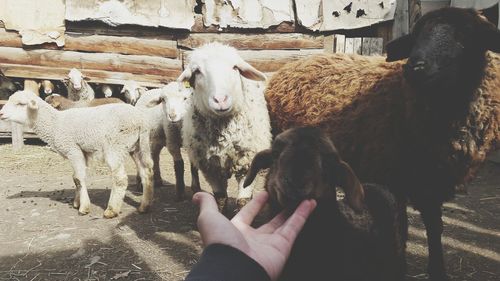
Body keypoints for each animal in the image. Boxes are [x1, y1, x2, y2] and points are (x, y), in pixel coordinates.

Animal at [0, 89, 154, 217]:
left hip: (115, 147)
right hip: (137, 146)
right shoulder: (81, 152)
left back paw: (111, 210)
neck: (55, 124)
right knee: (146, 172)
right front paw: (76, 202)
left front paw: (84, 207)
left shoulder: (72, 149)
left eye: (21, 104)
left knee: (120, 179)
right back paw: (144, 206)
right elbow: (76, 178)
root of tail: (141, 120)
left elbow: (79, 178)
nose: (1, 113)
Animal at [178, 42, 272, 210]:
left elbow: (244, 201)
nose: (220, 100)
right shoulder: (210, 168)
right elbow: (220, 198)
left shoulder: (248, 163)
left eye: (235, 67)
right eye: (197, 71)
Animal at [264, 7, 498, 280]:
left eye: (466, 35)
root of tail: (291, 66)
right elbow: (405, 225)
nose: (415, 67)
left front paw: (436, 269)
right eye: (417, 36)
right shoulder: (397, 176)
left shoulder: (431, 180)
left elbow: (434, 227)